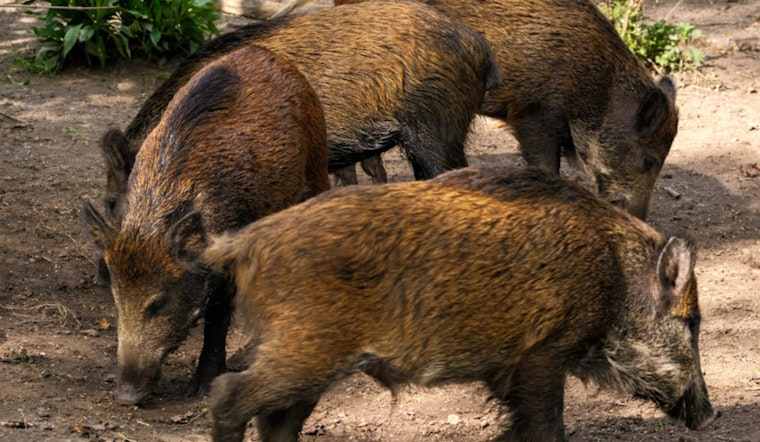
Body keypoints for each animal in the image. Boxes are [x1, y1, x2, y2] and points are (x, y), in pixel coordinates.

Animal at [81, 45, 330, 405]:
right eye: (116, 298)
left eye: (159, 302)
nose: (126, 396)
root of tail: (268, 54)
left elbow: (217, 314)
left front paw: (203, 389)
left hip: (317, 163)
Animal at [185, 166, 716, 441]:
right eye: (691, 324)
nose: (711, 416)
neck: (614, 279)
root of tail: (243, 244)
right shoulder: (544, 352)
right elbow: (547, 424)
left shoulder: (506, 369)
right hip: (307, 349)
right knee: (229, 395)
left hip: (311, 360)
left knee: (276, 419)